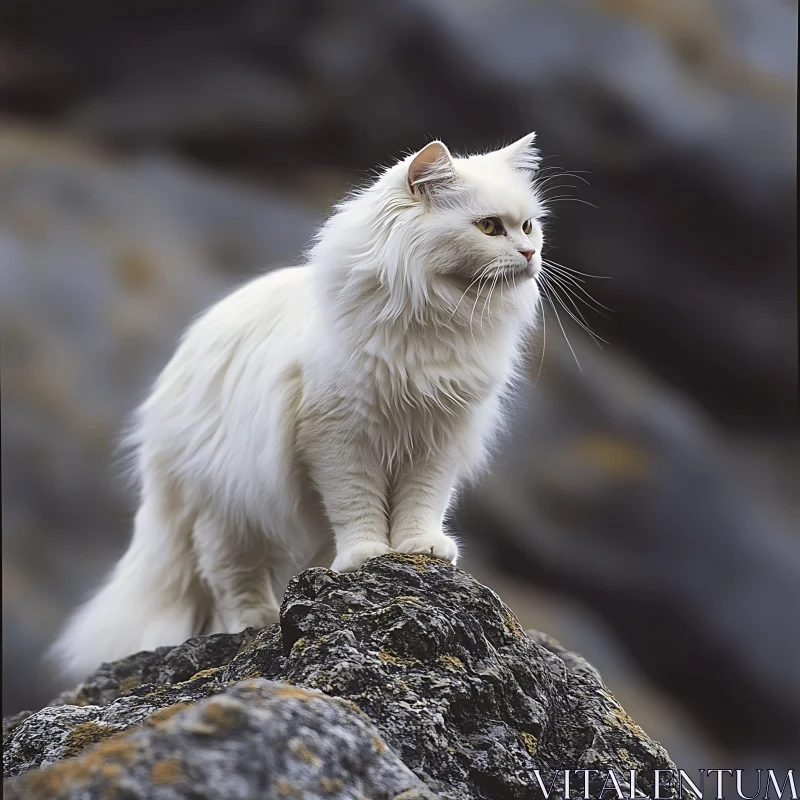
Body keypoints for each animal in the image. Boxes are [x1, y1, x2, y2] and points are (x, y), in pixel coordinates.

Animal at [53, 134, 548, 680]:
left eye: (528, 226)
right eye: (490, 227)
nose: (529, 253)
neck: (436, 321)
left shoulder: (439, 439)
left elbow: (423, 502)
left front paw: (420, 549)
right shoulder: (338, 438)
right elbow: (356, 505)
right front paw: (366, 556)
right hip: (228, 507)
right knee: (228, 574)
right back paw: (255, 620)